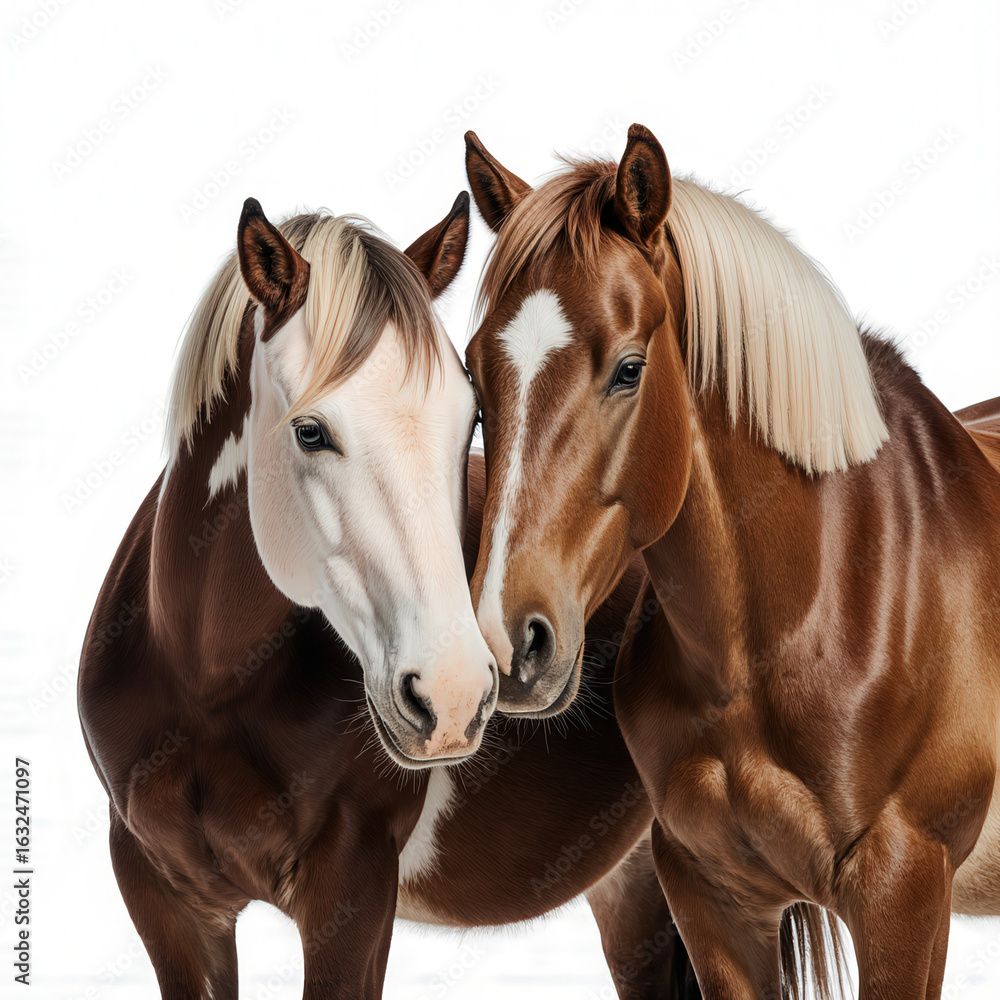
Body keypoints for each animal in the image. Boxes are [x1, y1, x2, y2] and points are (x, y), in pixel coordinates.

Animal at [78, 193, 725, 999]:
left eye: (468, 419)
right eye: (310, 431)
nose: (453, 694)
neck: (206, 689)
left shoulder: (353, 890)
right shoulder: (163, 897)